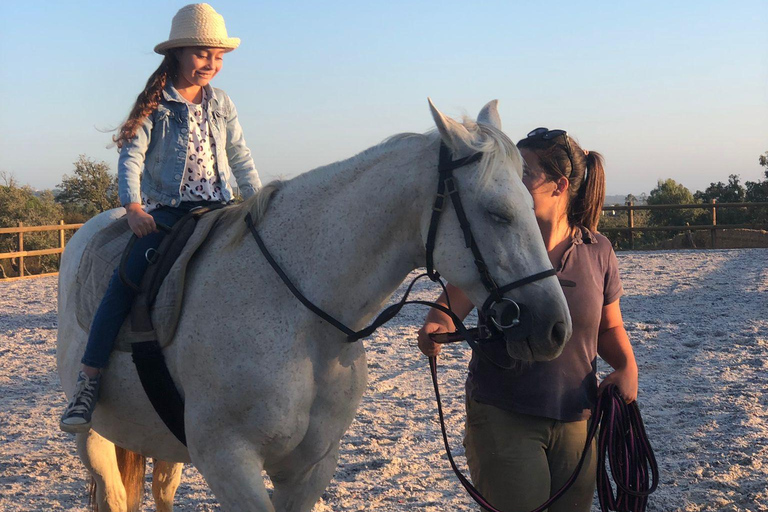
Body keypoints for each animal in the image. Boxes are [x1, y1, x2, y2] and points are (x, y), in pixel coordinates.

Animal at [57, 99, 572, 511]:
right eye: (497, 213)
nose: (555, 329)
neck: (301, 317)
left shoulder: (309, 468)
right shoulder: (227, 461)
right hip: (95, 439)